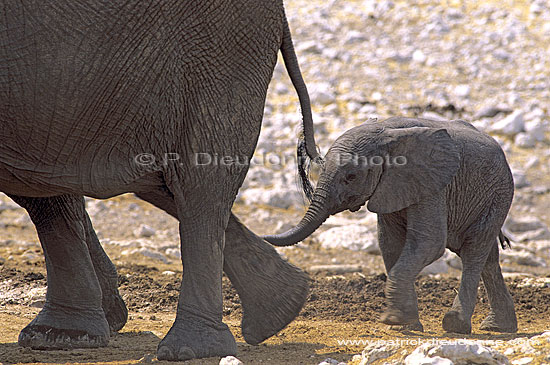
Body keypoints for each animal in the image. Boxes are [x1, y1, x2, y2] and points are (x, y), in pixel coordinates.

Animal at [266, 116, 520, 332]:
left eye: (351, 177)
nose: (264, 237)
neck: (386, 132)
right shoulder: (392, 185)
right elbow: (390, 245)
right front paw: (406, 325)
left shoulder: (432, 184)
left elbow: (429, 244)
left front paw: (394, 319)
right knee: (489, 257)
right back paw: (498, 327)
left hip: (499, 193)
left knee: (473, 251)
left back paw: (456, 325)